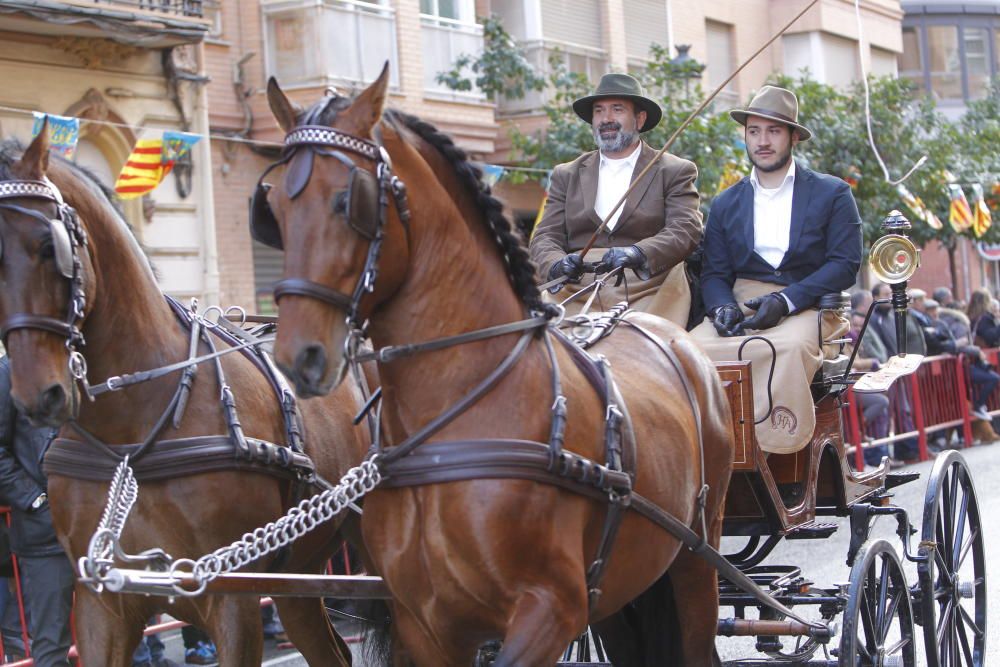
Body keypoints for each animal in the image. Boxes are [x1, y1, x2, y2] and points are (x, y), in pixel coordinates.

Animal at [0, 128, 376, 664]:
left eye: (48, 248)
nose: (40, 393)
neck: (129, 436)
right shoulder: (101, 601)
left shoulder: (230, 596)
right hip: (297, 576)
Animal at [260, 69, 736, 667]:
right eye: (274, 209)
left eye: (350, 200)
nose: (299, 356)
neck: (455, 427)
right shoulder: (426, 625)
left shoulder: (550, 611)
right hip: (629, 579)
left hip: (696, 555)